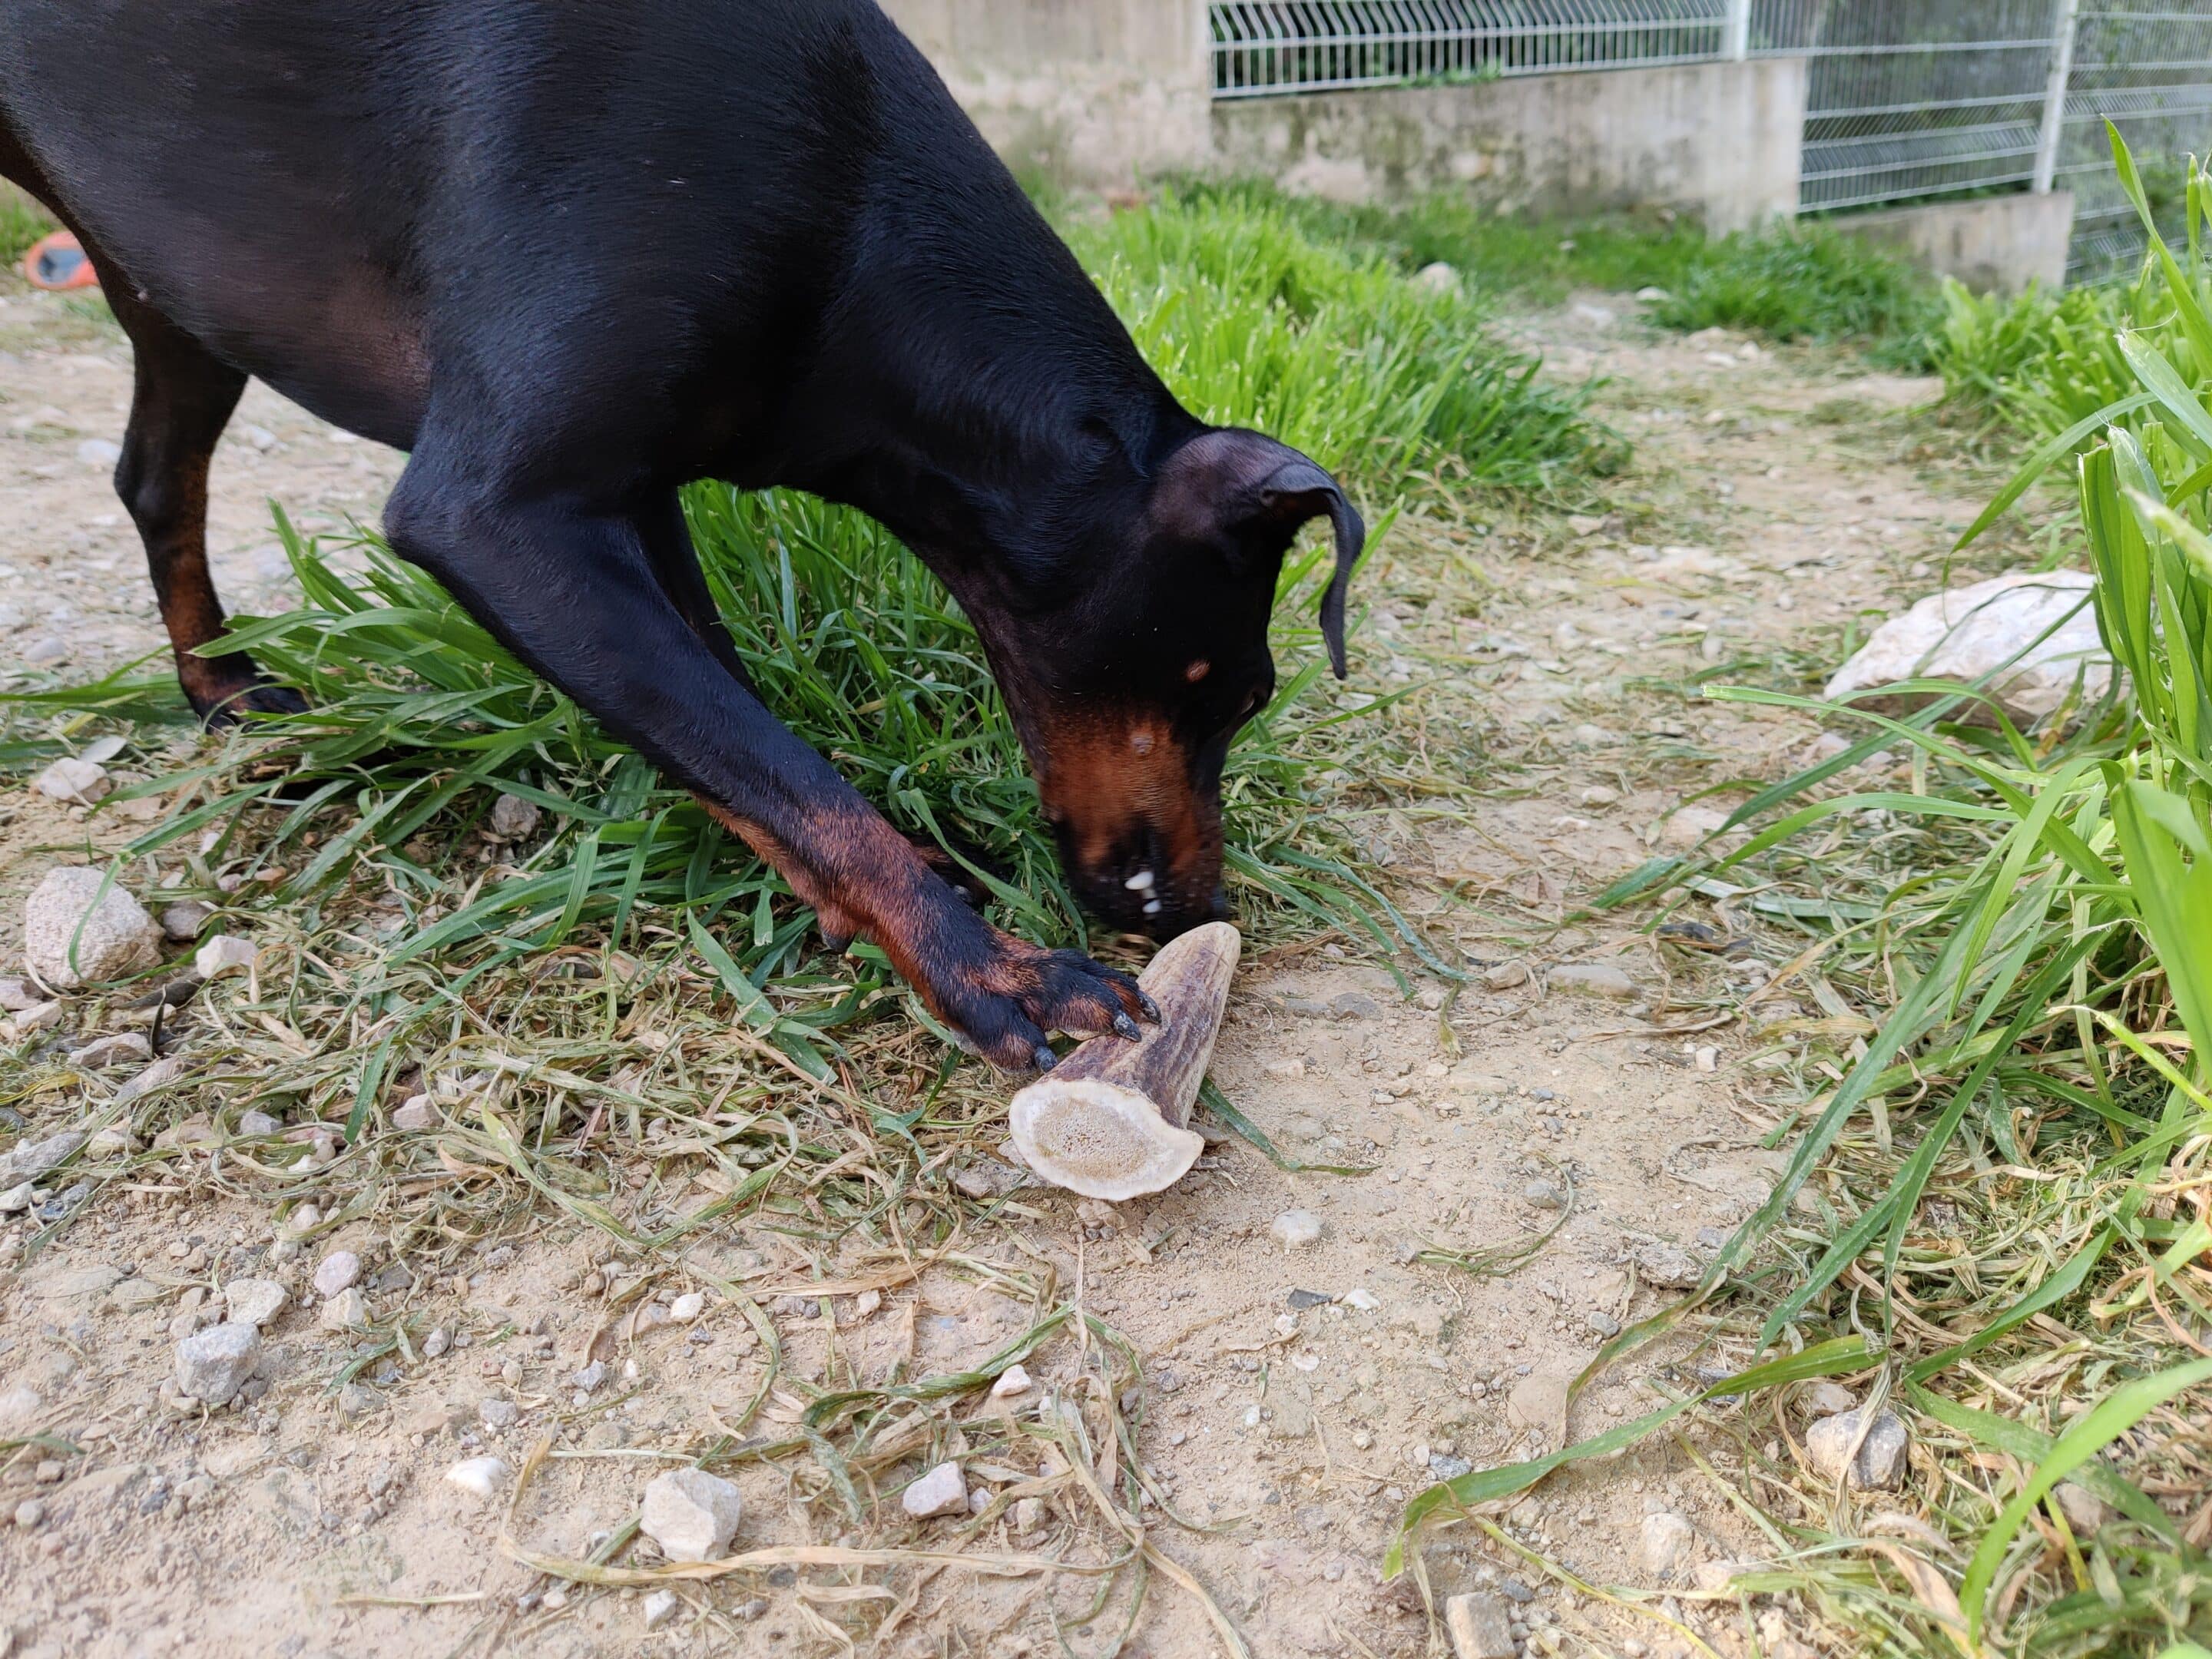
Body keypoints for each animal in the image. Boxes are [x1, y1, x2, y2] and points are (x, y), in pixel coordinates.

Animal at [0, 0, 1363, 1066]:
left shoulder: (636, 494)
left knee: (156, 482)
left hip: (167, 278)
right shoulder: (497, 520)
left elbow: (743, 738)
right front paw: (986, 965)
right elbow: (784, 769)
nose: (1199, 911)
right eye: (1240, 694)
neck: (847, 222)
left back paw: (224, 690)